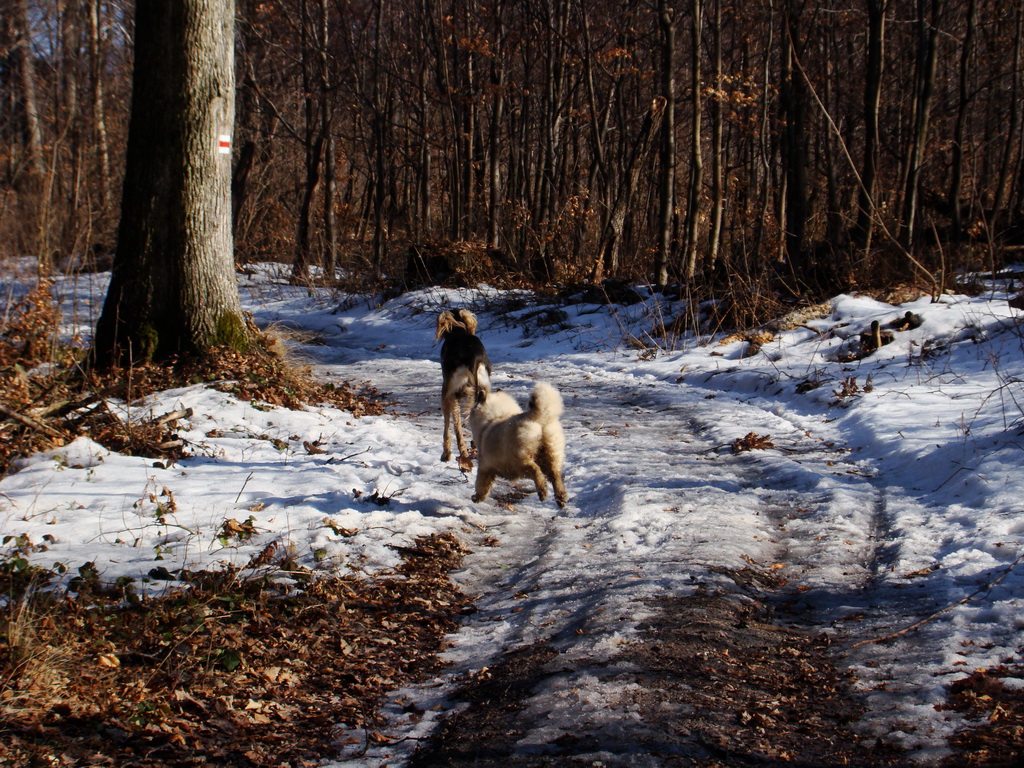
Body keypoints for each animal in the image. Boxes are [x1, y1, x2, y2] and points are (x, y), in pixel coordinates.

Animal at [468, 382, 569, 512]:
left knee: (535, 470)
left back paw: (542, 491)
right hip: (552, 455)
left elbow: (482, 484)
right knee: (555, 476)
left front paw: (477, 497)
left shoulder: (485, 467)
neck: (494, 418)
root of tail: (539, 417)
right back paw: (561, 498)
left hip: (519, 461)